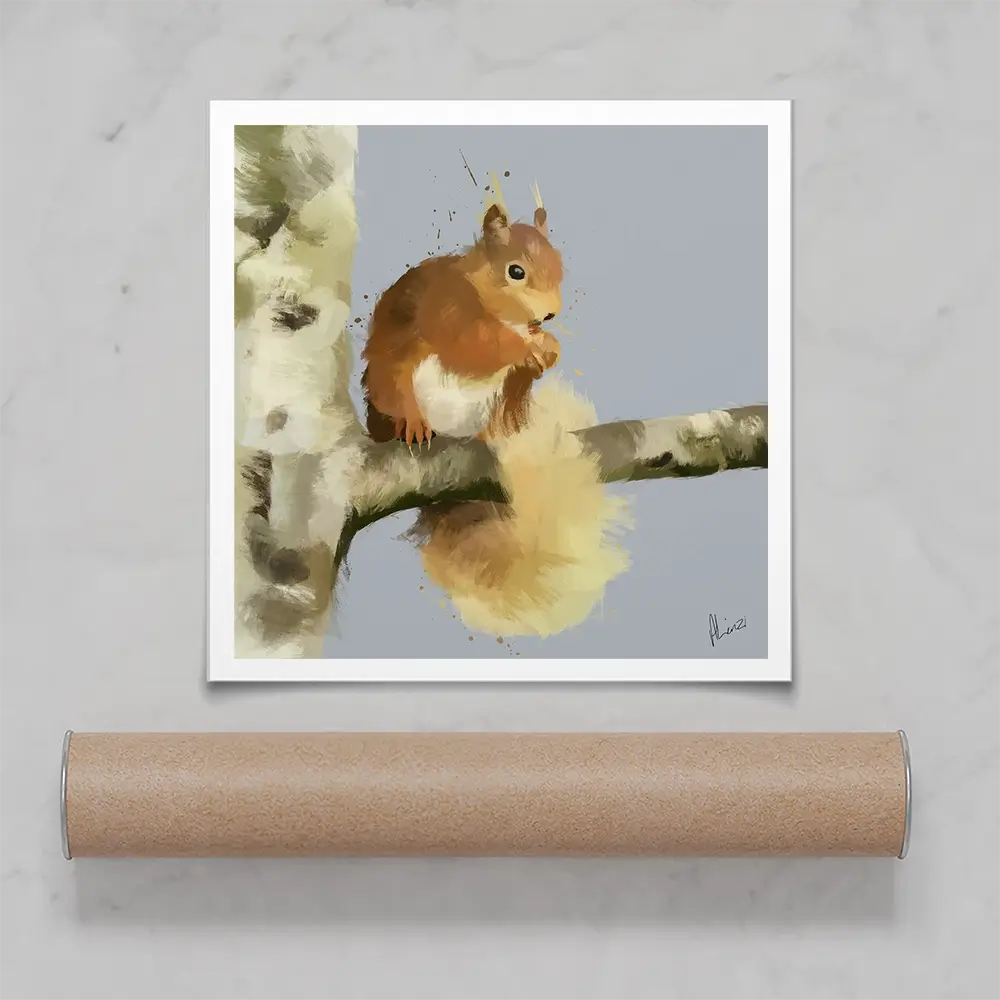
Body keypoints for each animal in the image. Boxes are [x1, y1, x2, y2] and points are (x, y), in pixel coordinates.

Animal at [360, 198, 631, 638]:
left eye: (560, 264)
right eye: (515, 271)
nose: (550, 315)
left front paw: (548, 348)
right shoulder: (448, 310)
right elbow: (476, 345)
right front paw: (526, 346)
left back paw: (491, 436)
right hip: (394, 389)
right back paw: (413, 425)